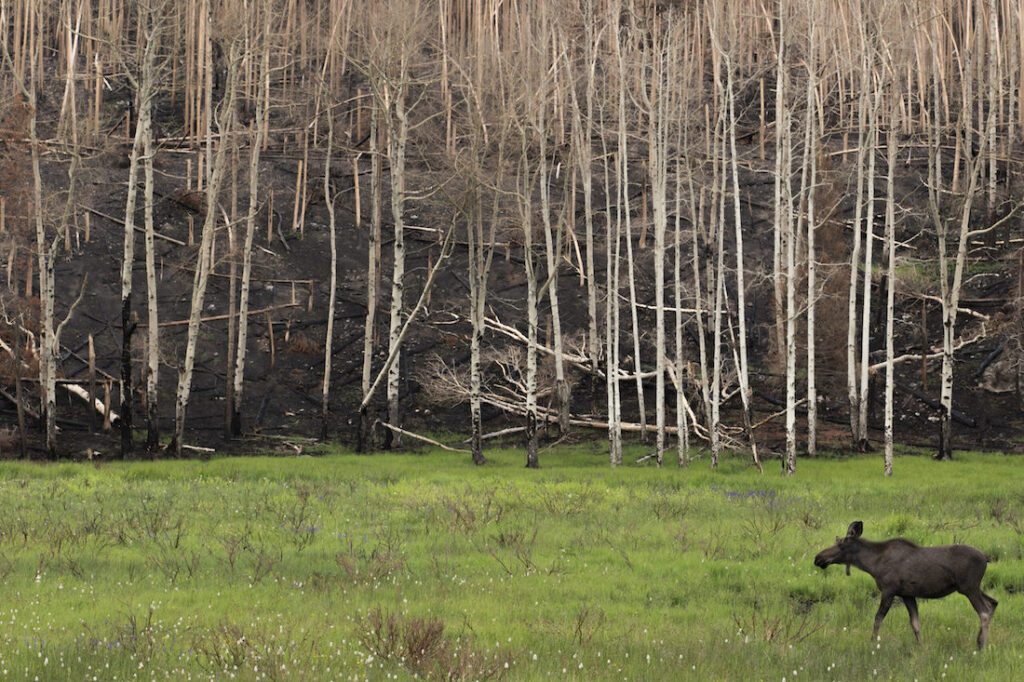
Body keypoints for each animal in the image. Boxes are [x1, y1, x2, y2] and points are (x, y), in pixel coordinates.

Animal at [815, 518, 999, 647]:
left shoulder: (889, 590)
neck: (873, 565)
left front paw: (872, 643)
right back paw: (979, 640)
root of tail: (986, 558)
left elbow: (878, 619)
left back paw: (982, 646)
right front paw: (921, 646)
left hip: (969, 587)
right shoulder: (907, 594)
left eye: (840, 544)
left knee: (983, 611)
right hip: (973, 587)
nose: (818, 558)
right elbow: (915, 624)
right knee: (993, 603)